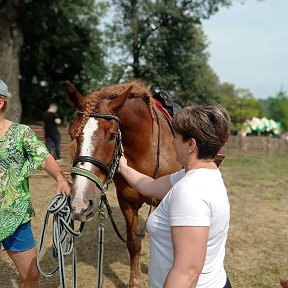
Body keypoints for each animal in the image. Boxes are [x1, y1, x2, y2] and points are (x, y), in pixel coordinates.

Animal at [66, 80, 181, 286]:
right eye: (72, 134)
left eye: (112, 135)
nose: (80, 203)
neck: (146, 152)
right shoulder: (127, 202)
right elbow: (133, 243)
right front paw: (135, 281)